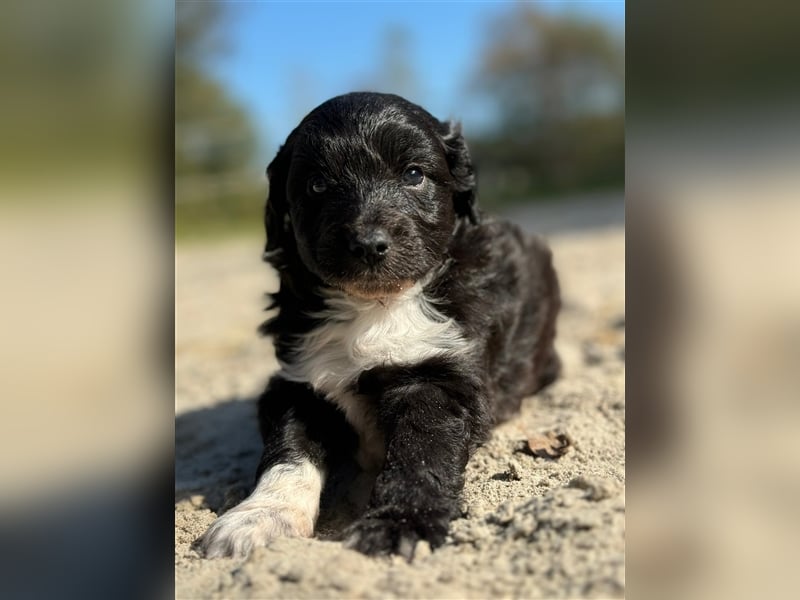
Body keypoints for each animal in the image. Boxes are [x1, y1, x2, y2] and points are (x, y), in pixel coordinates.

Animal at [198, 91, 564, 560]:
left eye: (414, 174)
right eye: (317, 185)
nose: (369, 244)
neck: (375, 307)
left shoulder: (439, 380)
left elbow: (420, 453)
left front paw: (399, 523)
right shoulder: (298, 384)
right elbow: (288, 452)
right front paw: (260, 516)